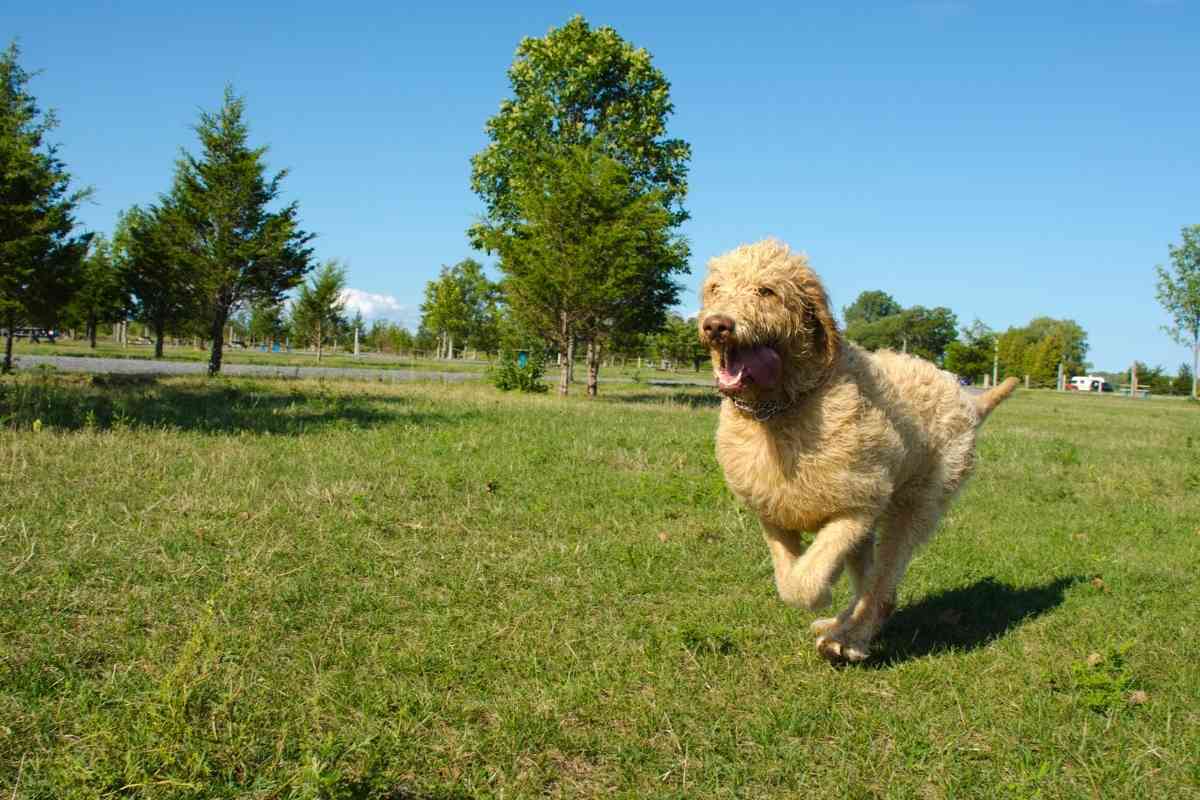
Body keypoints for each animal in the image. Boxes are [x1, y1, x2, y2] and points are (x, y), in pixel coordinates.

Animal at [700, 237, 1017, 662]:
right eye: (715, 289)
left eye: (766, 291)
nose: (717, 325)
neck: (786, 408)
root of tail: (967, 398)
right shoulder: (772, 512)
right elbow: (788, 580)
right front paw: (821, 595)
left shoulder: (856, 508)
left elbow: (807, 582)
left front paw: (823, 591)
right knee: (874, 585)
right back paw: (840, 625)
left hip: (916, 505)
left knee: (882, 585)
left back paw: (849, 639)